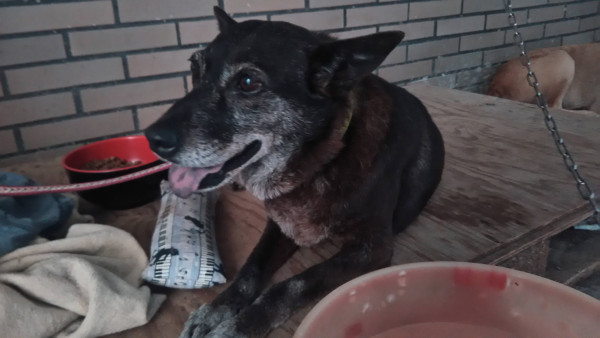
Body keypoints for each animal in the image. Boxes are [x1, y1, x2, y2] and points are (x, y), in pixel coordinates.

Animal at [146, 6, 446, 336]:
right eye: (194, 67)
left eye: (248, 82)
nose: (152, 138)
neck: (320, 162)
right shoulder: (280, 226)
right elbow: (251, 267)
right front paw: (217, 309)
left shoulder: (374, 247)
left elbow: (295, 284)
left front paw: (241, 326)